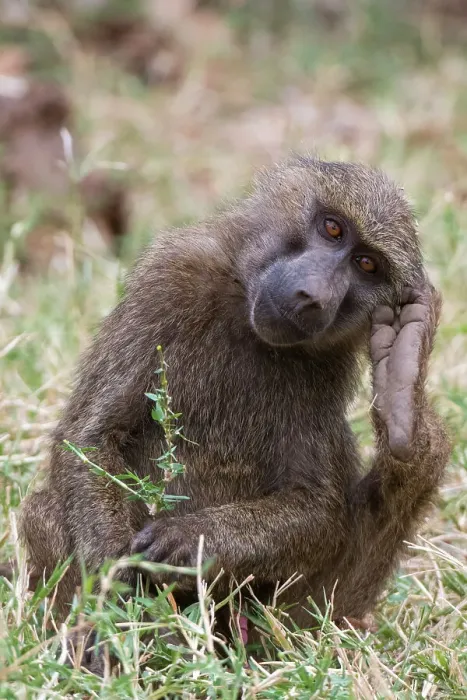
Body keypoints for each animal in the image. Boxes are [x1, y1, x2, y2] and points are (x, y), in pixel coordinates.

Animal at [18, 156, 450, 661]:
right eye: (332, 229)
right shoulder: (169, 279)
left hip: (278, 629)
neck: (244, 310)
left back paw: (404, 409)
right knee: (45, 510)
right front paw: (116, 613)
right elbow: (91, 438)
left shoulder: (325, 370)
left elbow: (317, 506)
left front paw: (191, 541)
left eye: (367, 265)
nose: (313, 296)